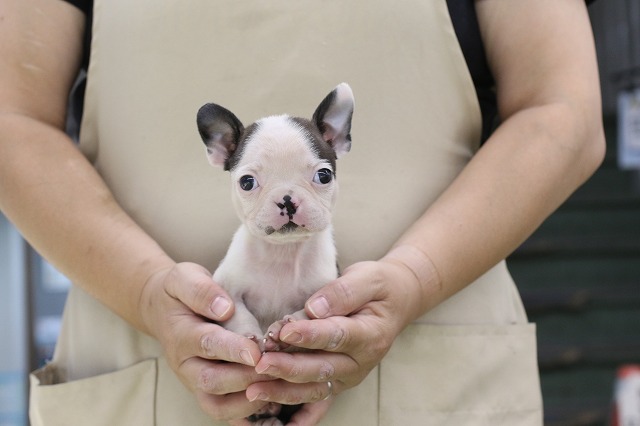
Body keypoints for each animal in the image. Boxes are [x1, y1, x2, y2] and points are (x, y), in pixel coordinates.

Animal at [196, 83, 352, 422]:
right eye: (247, 182)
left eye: (324, 176)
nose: (287, 199)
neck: (283, 252)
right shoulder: (227, 292)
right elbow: (237, 314)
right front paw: (250, 337)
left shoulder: (324, 297)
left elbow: (308, 312)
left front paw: (283, 330)